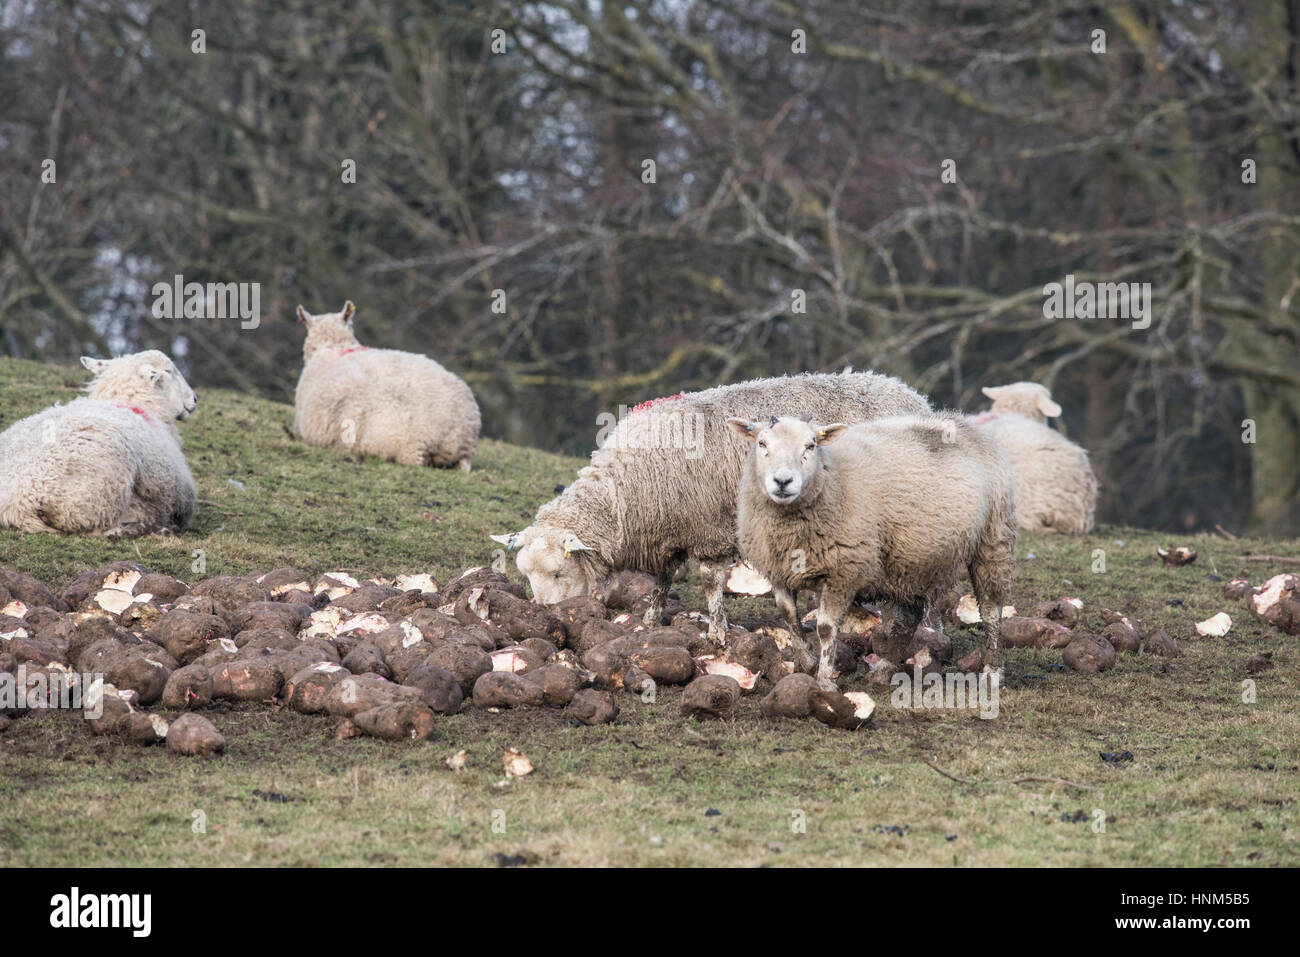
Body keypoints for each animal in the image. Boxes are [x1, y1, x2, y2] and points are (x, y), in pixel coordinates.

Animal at [491, 371, 930, 641]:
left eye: (558, 571)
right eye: (525, 574)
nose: (545, 615)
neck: (630, 486)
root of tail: (910, 394)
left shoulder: (710, 529)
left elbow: (710, 583)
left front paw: (717, 633)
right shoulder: (666, 532)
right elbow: (661, 582)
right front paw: (651, 620)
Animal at [730, 414, 1016, 683]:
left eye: (810, 445)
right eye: (762, 443)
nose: (782, 481)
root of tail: (959, 421)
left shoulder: (845, 570)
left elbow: (826, 628)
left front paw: (824, 680)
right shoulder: (778, 569)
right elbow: (788, 615)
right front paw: (807, 662)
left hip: (994, 539)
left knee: (991, 609)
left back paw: (992, 670)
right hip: (911, 559)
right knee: (909, 617)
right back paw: (884, 668)